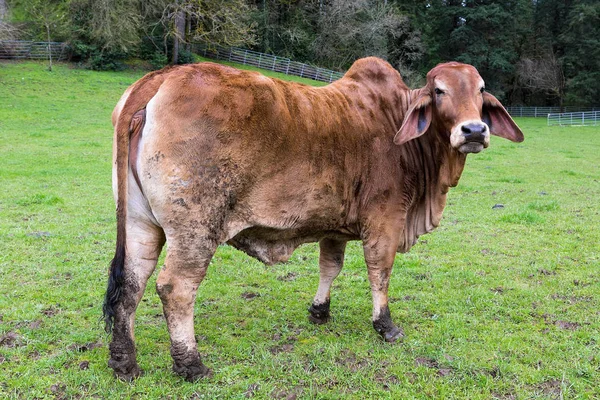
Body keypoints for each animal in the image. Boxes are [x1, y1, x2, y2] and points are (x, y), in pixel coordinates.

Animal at [105, 57, 524, 382]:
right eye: (438, 90)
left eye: (481, 90)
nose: (474, 130)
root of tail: (161, 78)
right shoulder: (385, 219)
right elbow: (380, 271)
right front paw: (385, 325)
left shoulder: (332, 226)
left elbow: (330, 266)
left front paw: (320, 311)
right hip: (195, 229)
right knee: (175, 288)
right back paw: (191, 365)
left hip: (142, 224)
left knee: (131, 283)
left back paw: (124, 362)